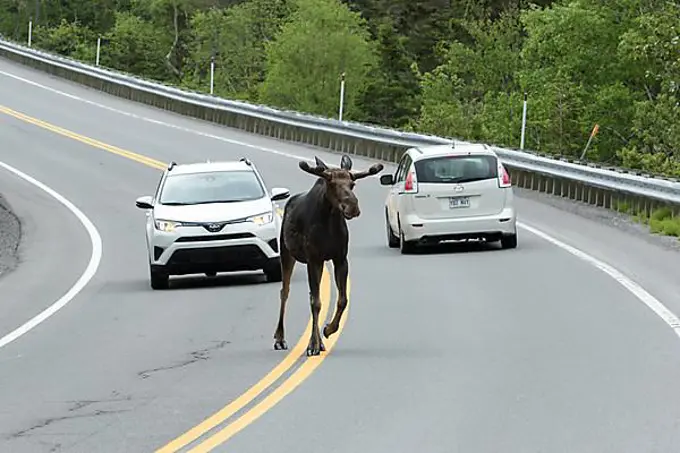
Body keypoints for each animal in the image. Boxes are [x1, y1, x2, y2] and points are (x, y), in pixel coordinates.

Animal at [274, 154, 386, 354]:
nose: (352, 206)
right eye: (331, 183)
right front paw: (313, 344)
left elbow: (342, 300)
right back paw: (280, 338)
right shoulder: (313, 259)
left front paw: (328, 329)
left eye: (352, 184)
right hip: (286, 253)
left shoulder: (340, 258)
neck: (330, 221)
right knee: (285, 292)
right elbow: (317, 303)